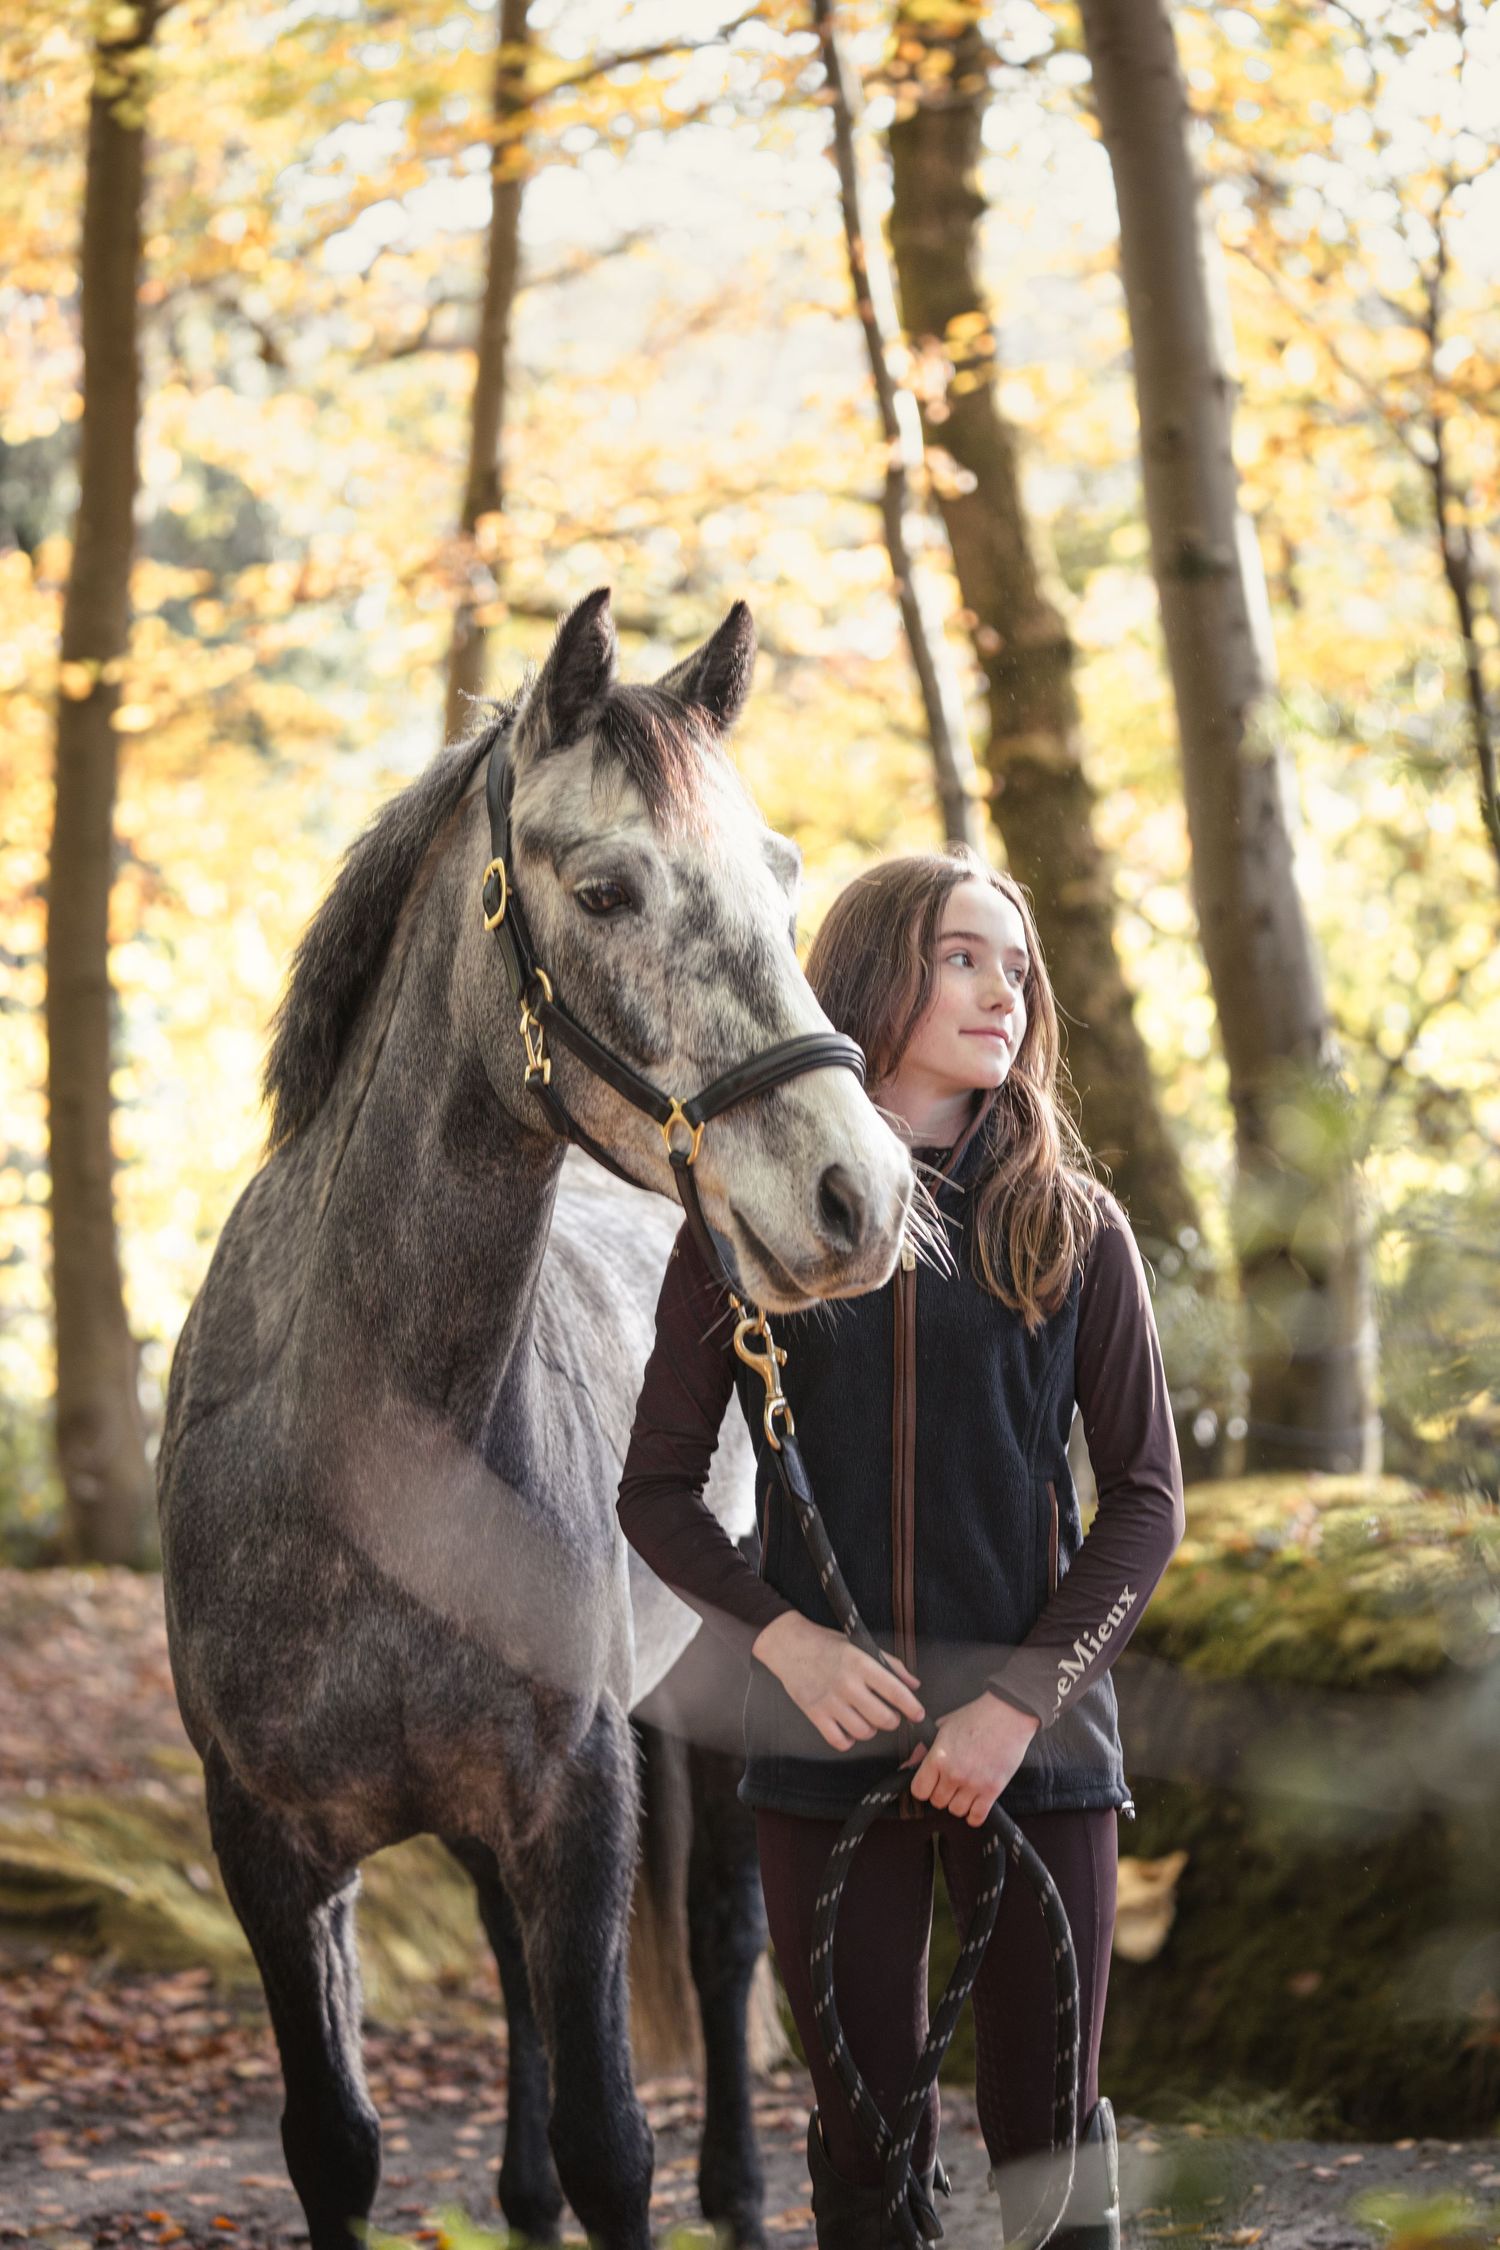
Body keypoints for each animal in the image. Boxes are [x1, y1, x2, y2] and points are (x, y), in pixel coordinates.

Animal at [156, 588, 915, 2250]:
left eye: (783, 875)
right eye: (610, 888)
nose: (863, 1193)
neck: (361, 1456)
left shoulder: (580, 1802)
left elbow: (609, 2139)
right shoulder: (272, 1848)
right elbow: (334, 2141)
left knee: (724, 1939)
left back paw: (741, 2193)